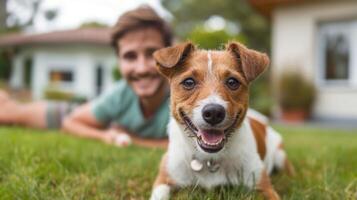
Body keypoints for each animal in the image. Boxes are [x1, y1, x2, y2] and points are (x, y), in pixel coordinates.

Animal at [149, 41, 294, 199]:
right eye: (188, 82)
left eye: (232, 82)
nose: (214, 112)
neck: (209, 159)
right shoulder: (164, 179)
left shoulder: (264, 187)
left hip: (280, 156)